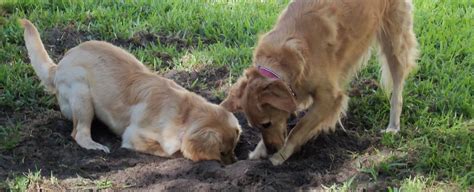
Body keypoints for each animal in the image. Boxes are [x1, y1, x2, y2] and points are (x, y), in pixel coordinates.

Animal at [20, 19, 241, 164]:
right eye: (221, 153)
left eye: (233, 149)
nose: (233, 163)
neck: (185, 114)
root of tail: (58, 66)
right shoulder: (134, 135)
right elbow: (171, 151)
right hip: (81, 93)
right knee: (79, 133)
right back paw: (95, 145)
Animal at [220, 0, 416, 165]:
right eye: (255, 126)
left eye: (266, 123)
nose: (271, 150)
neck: (283, 59)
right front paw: (259, 150)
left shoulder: (330, 98)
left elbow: (299, 129)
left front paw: (281, 155)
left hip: (394, 40)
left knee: (397, 89)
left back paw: (393, 126)